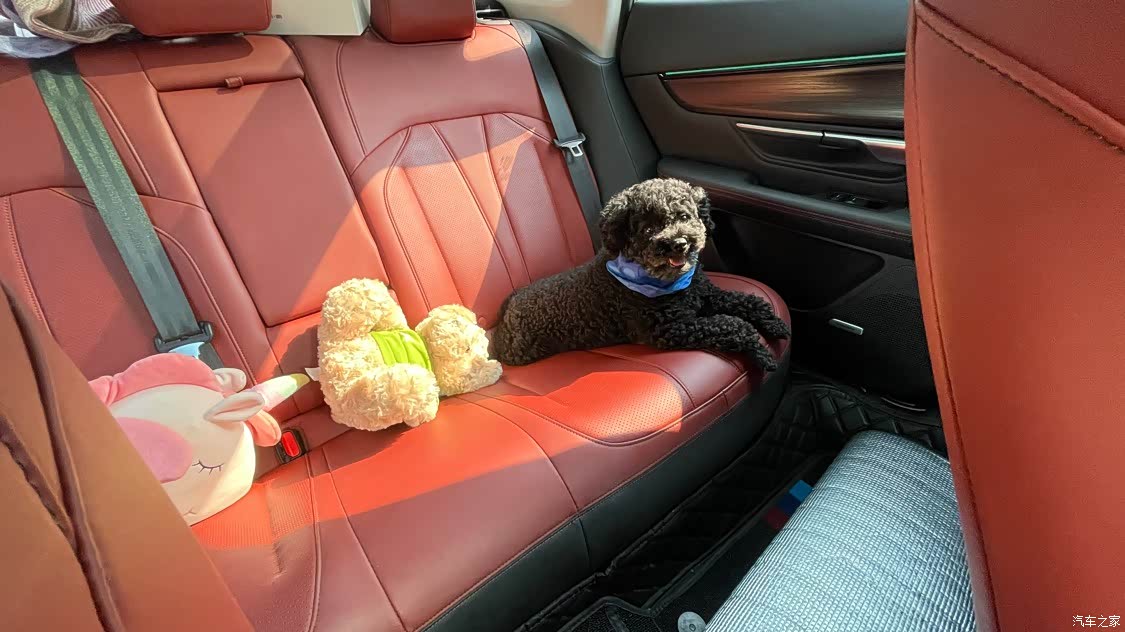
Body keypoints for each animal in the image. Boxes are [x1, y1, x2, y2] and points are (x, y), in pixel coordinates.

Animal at [493, 178, 789, 370]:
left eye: (684, 216)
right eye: (648, 229)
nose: (679, 243)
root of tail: (507, 308)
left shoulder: (706, 294)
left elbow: (748, 301)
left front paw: (774, 324)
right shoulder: (671, 329)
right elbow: (732, 324)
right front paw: (761, 351)